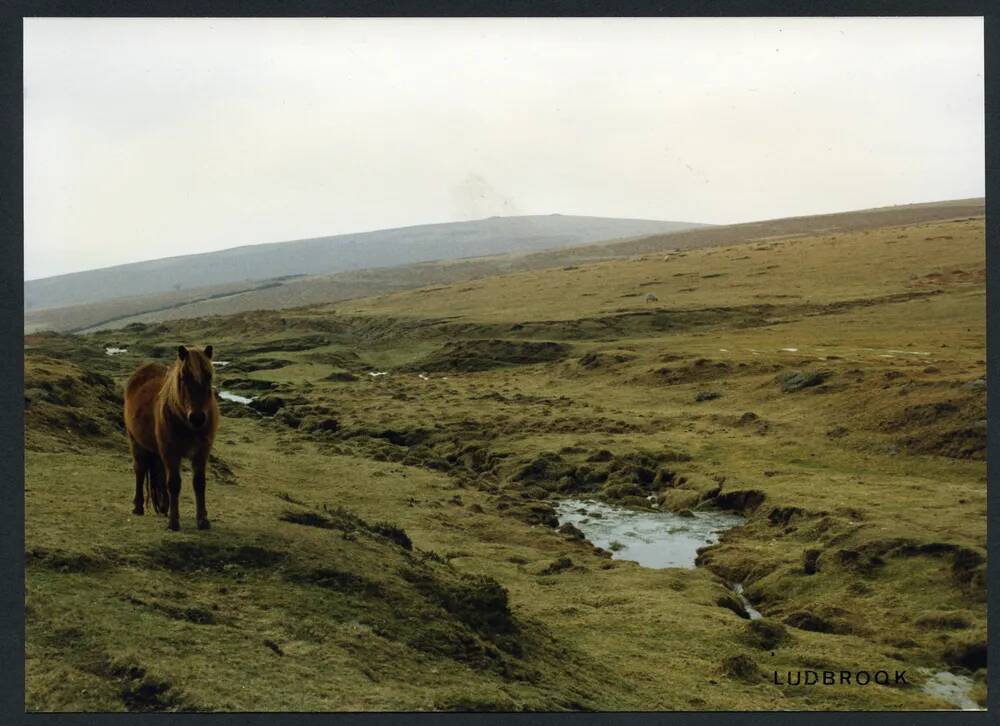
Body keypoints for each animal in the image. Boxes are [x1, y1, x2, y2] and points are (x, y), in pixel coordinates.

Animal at [123, 344, 219, 532]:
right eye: (183, 377)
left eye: (209, 376)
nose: (197, 418)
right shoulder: (171, 452)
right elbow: (174, 483)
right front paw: (174, 522)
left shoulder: (201, 453)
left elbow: (199, 484)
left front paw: (202, 520)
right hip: (136, 442)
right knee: (140, 470)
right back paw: (138, 507)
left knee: (159, 473)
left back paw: (163, 507)